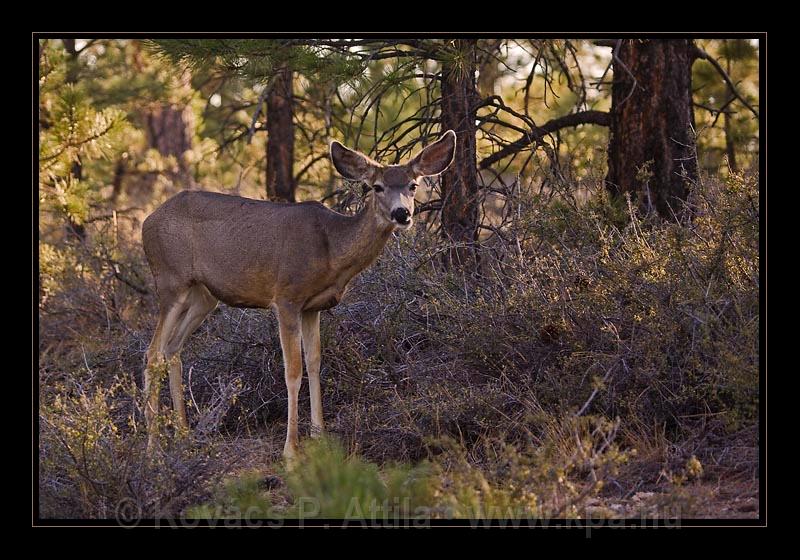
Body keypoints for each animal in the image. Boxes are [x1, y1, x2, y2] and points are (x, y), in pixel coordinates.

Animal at [141, 130, 456, 460]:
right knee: (152, 353)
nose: (402, 213)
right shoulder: (287, 298)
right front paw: (291, 450)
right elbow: (293, 370)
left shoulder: (313, 307)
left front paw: (320, 437)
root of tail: (147, 220)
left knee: (172, 348)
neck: (331, 250)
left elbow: (315, 363)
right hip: (170, 279)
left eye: (413, 185)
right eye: (377, 186)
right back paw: (153, 447)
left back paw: (183, 435)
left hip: (204, 294)